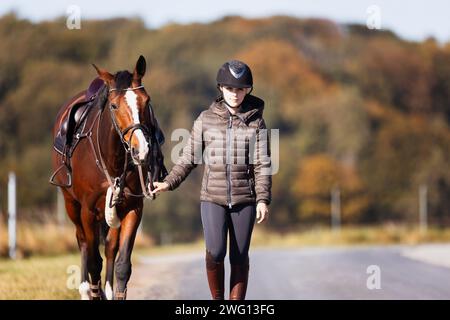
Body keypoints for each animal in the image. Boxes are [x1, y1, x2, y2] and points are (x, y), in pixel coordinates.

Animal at [51, 55, 166, 300]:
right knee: (83, 243)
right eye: (114, 105)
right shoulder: (87, 210)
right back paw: (86, 289)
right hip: (71, 204)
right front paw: (94, 291)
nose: (141, 150)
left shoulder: (133, 208)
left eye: (147, 101)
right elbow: (94, 262)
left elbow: (122, 264)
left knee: (110, 247)